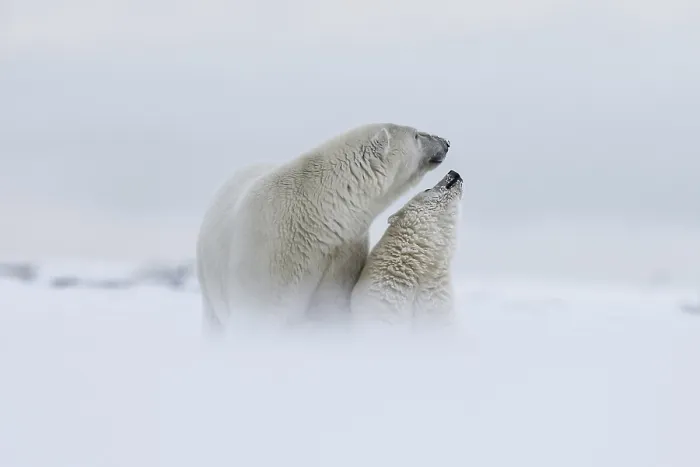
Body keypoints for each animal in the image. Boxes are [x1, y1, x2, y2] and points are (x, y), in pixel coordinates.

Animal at [195, 123, 451, 331]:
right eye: (417, 135)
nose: (446, 142)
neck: (318, 215)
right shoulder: (268, 248)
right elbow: (259, 313)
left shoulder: (342, 252)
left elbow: (329, 306)